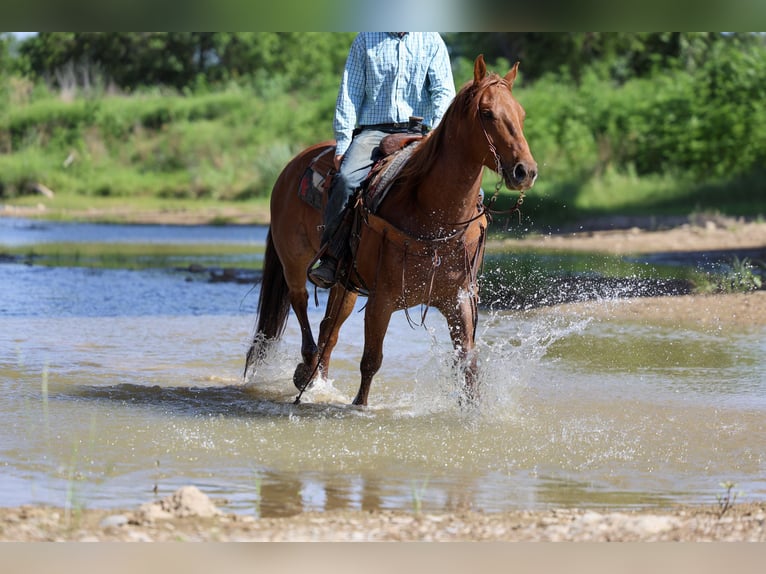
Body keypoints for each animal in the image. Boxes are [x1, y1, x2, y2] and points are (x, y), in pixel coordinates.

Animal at [244, 55, 537, 406]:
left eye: (521, 114)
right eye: (487, 112)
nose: (525, 171)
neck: (434, 217)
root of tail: (293, 165)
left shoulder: (460, 299)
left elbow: (467, 364)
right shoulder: (381, 300)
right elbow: (371, 362)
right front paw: (359, 407)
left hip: (346, 283)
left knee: (330, 330)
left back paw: (317, 380)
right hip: (294, 260)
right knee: (300, 303)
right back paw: (305, 367)